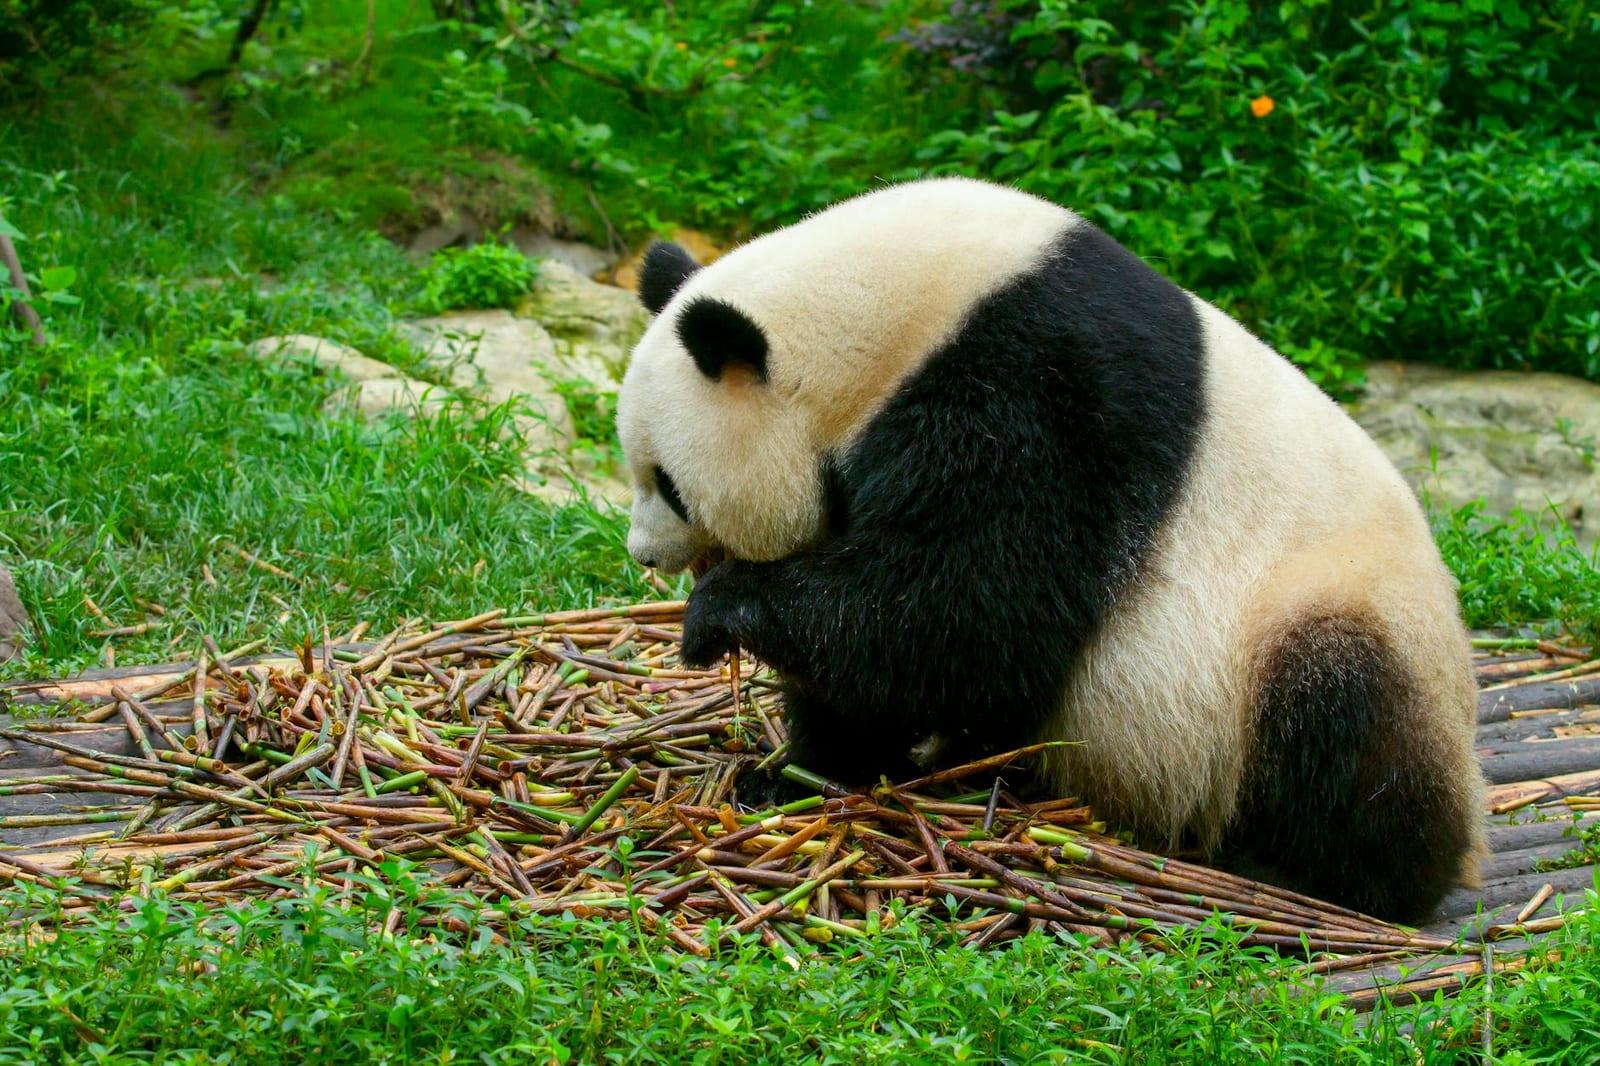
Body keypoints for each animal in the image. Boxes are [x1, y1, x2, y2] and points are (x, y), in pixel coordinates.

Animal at [616, 177, 1485, 922]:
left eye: (669, 484)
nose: (643, 555)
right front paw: (795, 773)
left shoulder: (1043, 391)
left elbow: (966, 611)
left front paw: (720, 613)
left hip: (1330, 615)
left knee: (1341, 717)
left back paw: (1315, 872)